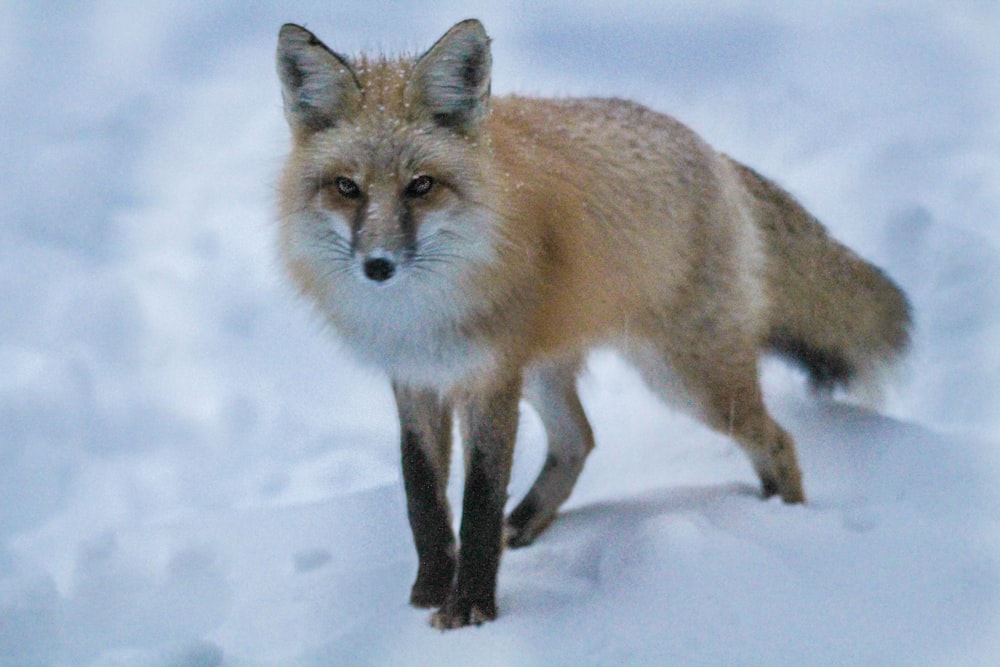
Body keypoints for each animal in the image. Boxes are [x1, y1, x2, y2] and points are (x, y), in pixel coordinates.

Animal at [276, 18, 916, 628]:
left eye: (422, 186)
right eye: (347, 187)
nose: (378, 265)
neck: (419, 313)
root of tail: (713, 154)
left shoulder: (490, 378)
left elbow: (478, 501)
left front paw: (472, 612)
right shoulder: (415, 379)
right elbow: (422, 498)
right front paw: (430, 592)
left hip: (687, 381)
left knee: (777, 440)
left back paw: (782, 527)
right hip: (547, 371)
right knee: (578, 440)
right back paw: (525, 525)